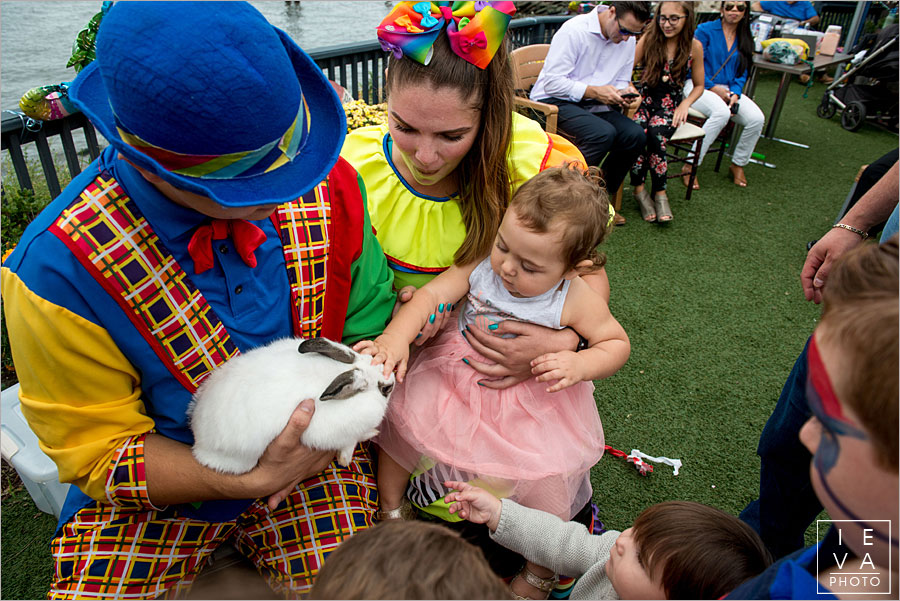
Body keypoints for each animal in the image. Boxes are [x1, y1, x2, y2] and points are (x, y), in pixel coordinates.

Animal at [187, 338, 394, 474]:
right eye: (386, 389)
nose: (393, 381)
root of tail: (197, 431)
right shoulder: (338, 433)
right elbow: (351, 441)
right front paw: (350, 453)